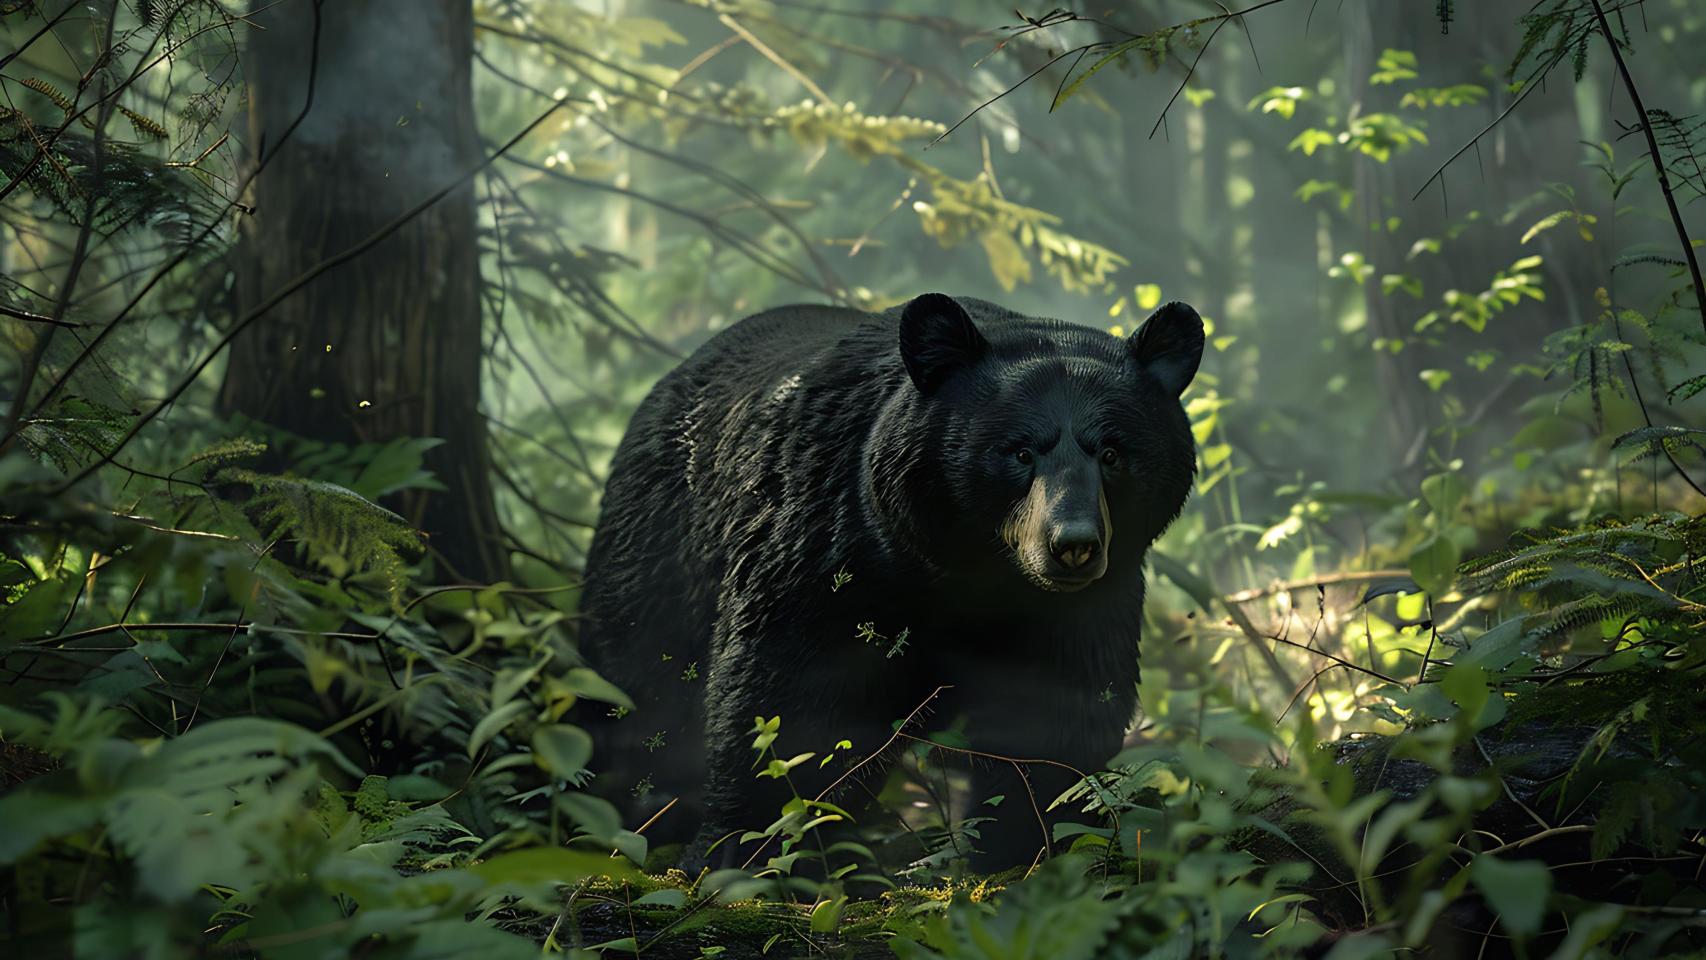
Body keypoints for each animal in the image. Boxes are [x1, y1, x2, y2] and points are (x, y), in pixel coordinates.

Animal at [578, 292, 1202, 870]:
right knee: (637, 691)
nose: (1073, 545)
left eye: (1113, 453)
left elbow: (1057, 716)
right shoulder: (826, 551)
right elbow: (787, 695)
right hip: (658, 553)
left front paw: (1021, 848)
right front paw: (742, 851)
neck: (968, 578)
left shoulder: (1084, 609)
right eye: (1020, 451)